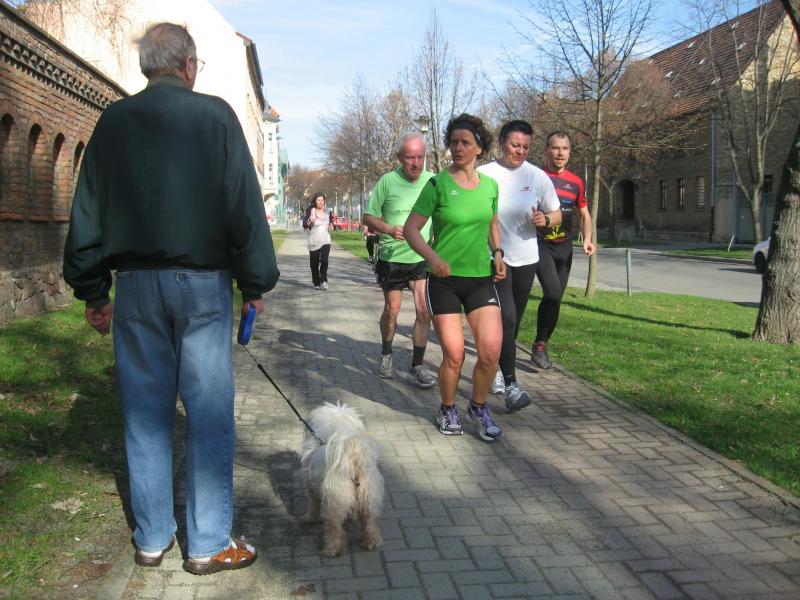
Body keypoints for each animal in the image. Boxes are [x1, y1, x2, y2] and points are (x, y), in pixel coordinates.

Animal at [300, 402, 384, 557]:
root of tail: (353, 459)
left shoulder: (310, 486)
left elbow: (313, 504)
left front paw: (309, 517)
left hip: (335, 502)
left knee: (335, 529)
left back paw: (331, 550)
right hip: (368, 498)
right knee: (370, 523)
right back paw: (371, 543)